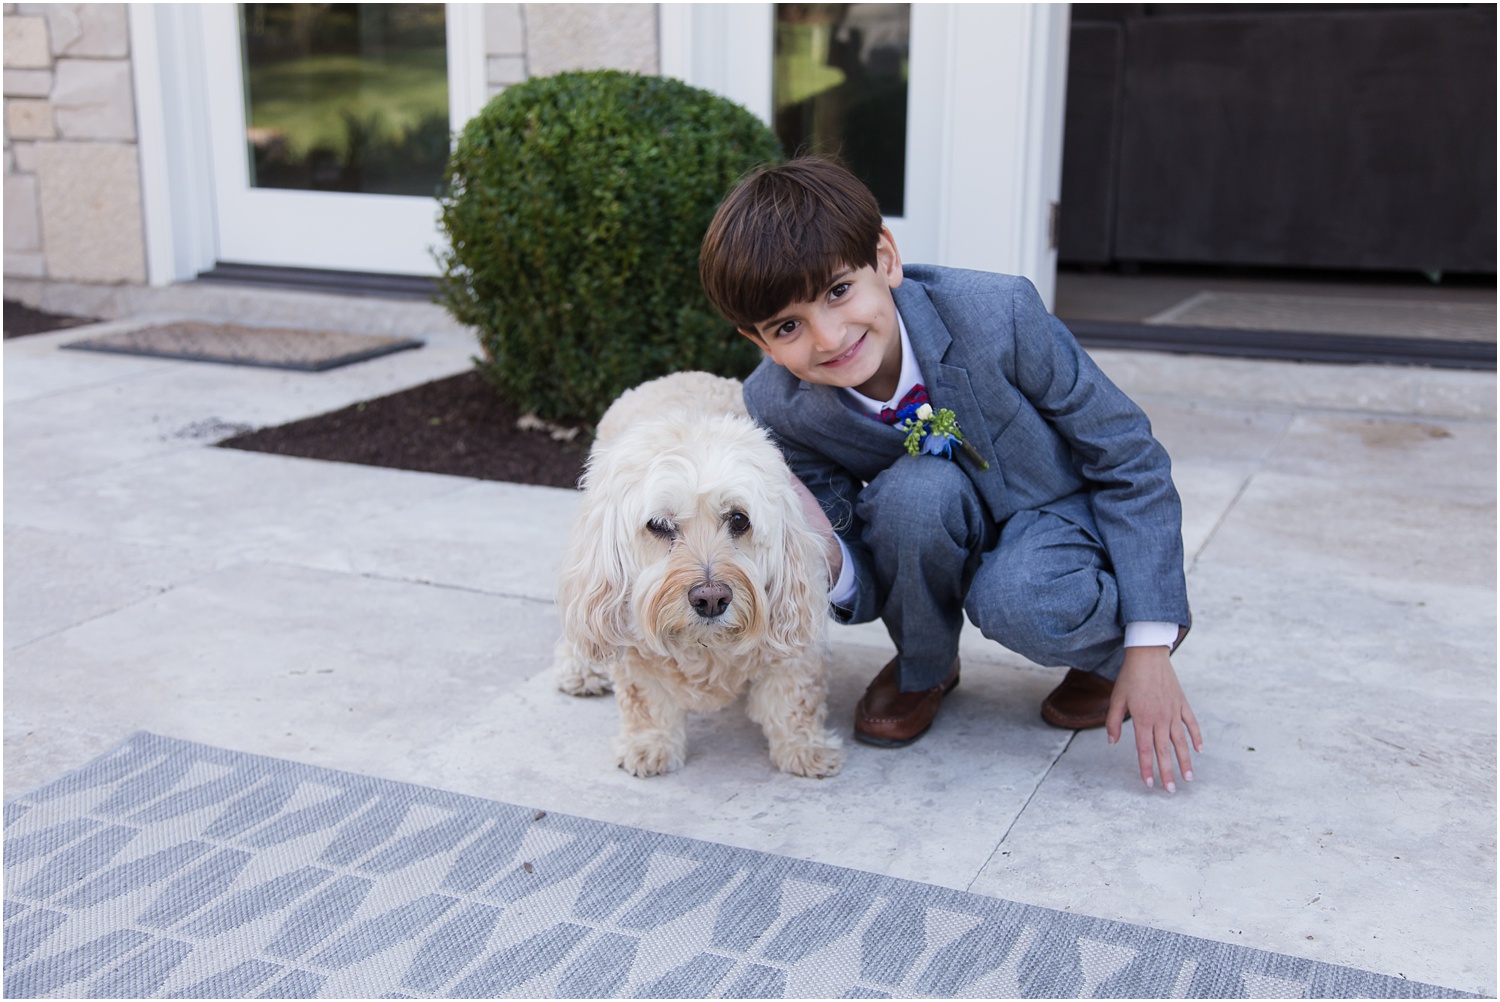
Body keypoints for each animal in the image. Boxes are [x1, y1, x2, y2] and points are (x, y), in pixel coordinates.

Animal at [558, 372, 852, 780]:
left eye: (739, 519)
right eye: (658, 525)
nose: (711, 599)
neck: (705, 645)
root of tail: (677, 375)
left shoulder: (793, 632)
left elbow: (794, 699)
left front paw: (805, 748)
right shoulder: (635, 649)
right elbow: (645, 699)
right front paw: (649, 745)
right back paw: (580, 668)